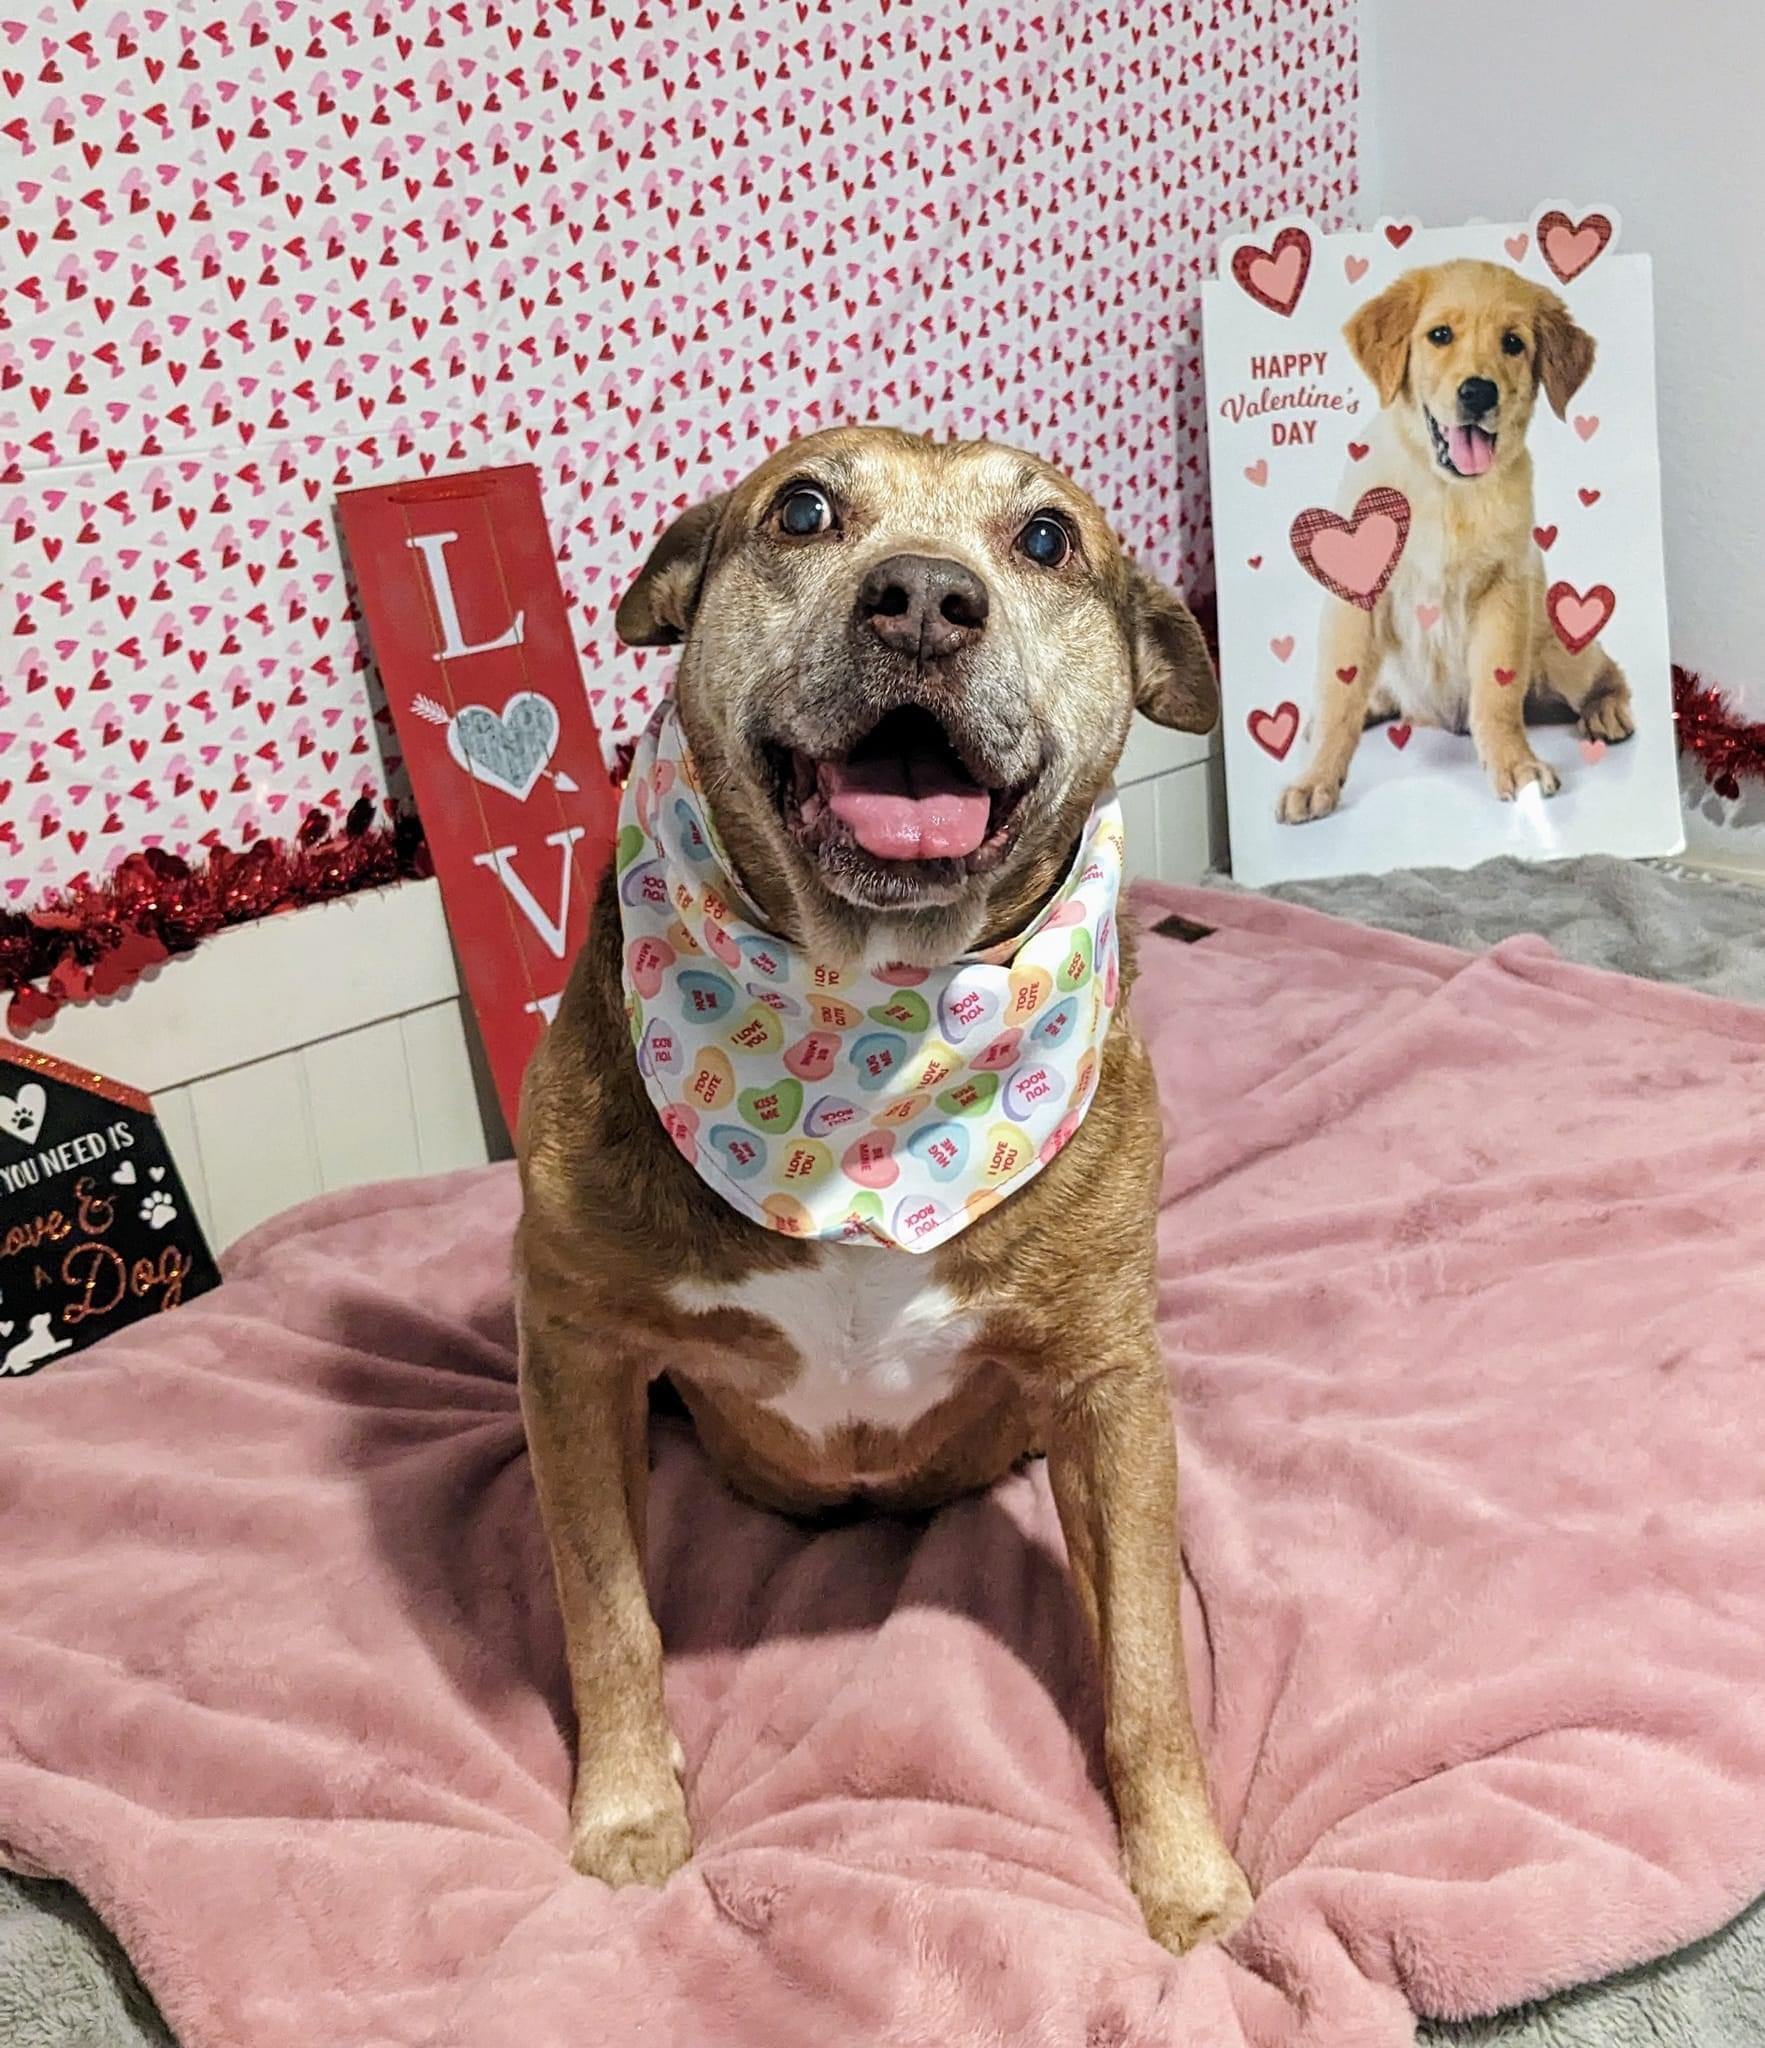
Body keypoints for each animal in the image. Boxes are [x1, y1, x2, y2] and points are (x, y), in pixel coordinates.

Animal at [513, 415, 1261, 1949]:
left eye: (1047, 538)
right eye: (801, 511)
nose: (921, 600)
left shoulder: (1109, 1380)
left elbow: (1149, 1667)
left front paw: (1183, 1878)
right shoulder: (569, 1346)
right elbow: (607, 1611)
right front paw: (627, 1814)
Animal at [1277, 258, 1638, 823]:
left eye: (1513, 343)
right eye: (1440, 335)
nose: (1478, 392)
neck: (1447, 491)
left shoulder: (1505, 590)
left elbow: (1497, 691)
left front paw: (1515, 764)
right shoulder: (1354, 598)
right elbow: (1340, 694)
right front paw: (1315, 779)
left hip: (1562, 650)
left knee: (1604, 671)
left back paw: (1607, 711)